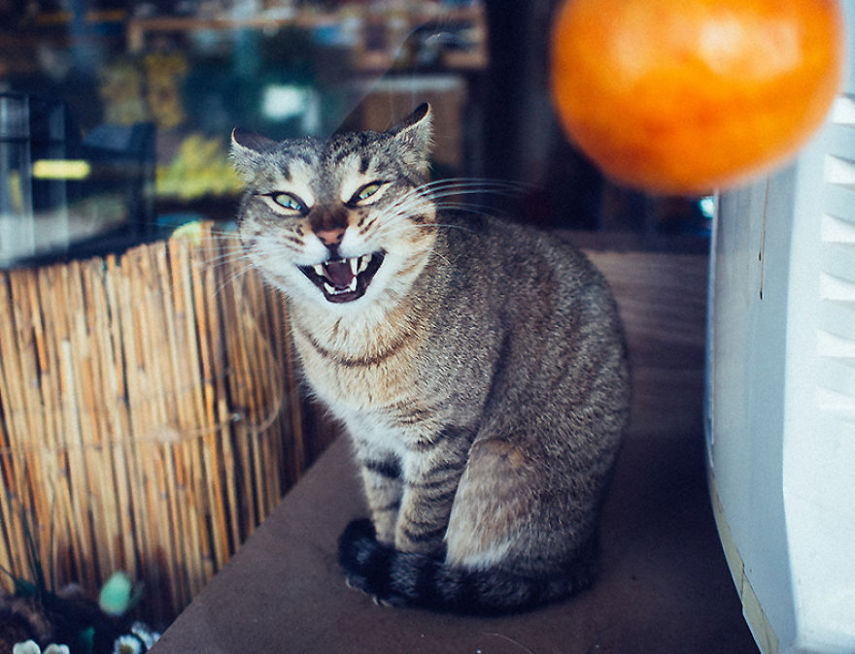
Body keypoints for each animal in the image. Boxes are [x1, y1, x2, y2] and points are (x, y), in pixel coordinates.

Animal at [231, 102, 632, 616]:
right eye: (287, 201)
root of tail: (584, 554)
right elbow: (384, 501)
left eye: (367, 190)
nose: (330, 232)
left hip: (494, 465)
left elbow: (418, 522)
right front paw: (379, 553)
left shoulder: (442, 441)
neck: (355, 347)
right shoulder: (369, 438)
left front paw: (395, 574)